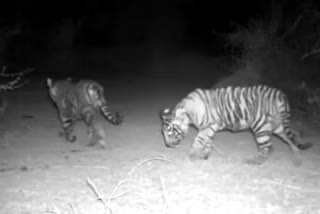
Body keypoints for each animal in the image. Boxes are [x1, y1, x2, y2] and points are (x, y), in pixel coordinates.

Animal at [160, 84, 312, 165]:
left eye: (170, 133)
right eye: (164, 134)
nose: (167, 145)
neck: (186, 113)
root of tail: (281, 96)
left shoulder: (207, 127)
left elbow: (198, 141)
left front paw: (190, 157)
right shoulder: (209, 128)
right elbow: (208, 142)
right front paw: (204, 155)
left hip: (260, 126)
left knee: (268, 146)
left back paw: (255, 162)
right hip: (278, 126)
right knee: (292, 137)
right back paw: (297, 158)